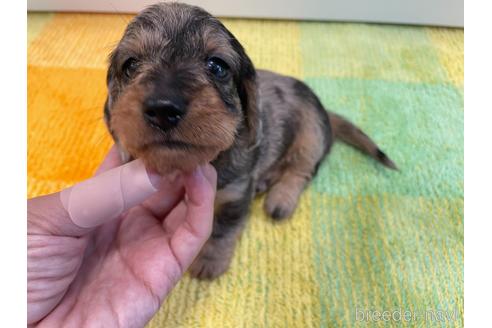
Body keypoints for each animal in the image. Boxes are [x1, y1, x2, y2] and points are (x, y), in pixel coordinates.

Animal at [104, 2, 396, 280]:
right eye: (130, 65)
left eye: (217, 65)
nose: (163, 109)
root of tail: (326, 111)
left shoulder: (235, 195)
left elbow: (222, 230)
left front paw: (210, 260)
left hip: (310, 136)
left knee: (301, 171)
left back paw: (281, 199)